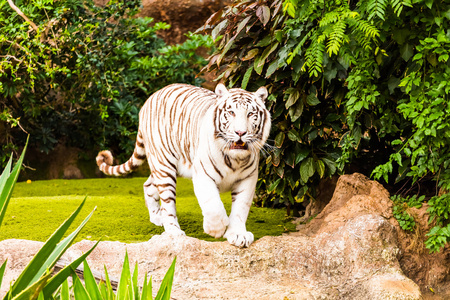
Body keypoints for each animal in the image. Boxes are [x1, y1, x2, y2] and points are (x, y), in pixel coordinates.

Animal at [96, 83, 270, 247]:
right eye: (231, 112)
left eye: (250, 114)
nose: (240, 132)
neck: (234, 159)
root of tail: (149, 99)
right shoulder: (203, 175)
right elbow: (213, 205)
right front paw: (216, 229)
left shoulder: (248, 179)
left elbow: (240, 209)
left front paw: (238, 235)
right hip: (164, 166)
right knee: (167, 202)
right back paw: (173, 231)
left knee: (148, 185)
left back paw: (157, 217)